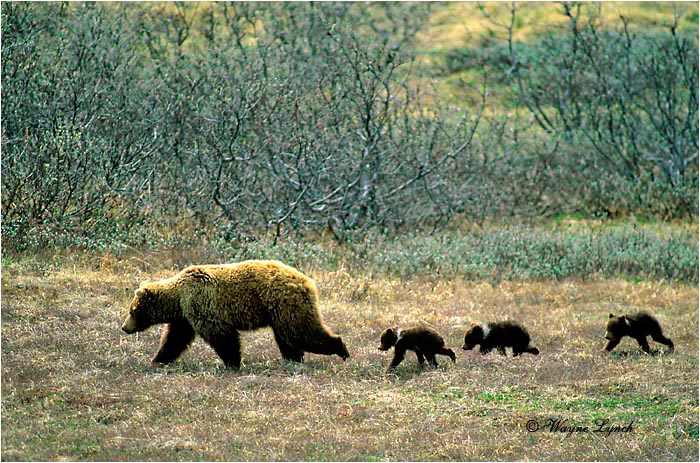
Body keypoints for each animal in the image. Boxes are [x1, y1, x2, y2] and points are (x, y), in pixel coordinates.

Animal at [121, 260, 350, 368]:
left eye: (133, 311)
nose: (124, 327)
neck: (177, 298)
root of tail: (306, 280)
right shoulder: (184, 317)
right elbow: (175, 340)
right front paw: (157, 359)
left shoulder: (203, 304)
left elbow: (222, 336)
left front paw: (232, 363)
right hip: (279, 313)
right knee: (287, 338)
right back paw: (293, 359)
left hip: (285, 304)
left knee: (301, 332)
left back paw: (341, 349)